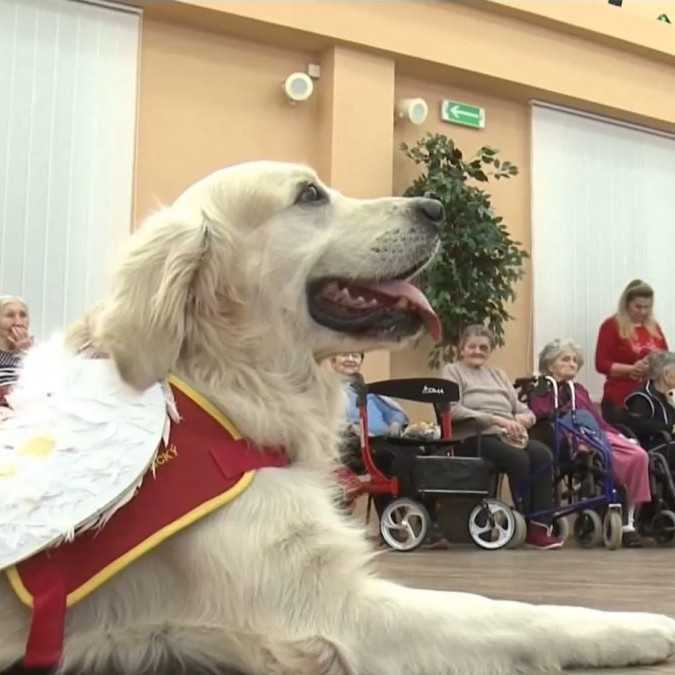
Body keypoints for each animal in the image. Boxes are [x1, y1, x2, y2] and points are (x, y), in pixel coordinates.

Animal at [1, 161, 675, 672]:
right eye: (309, 195)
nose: (436, 207)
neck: (230, 390)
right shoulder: (330, 613)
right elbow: (509, 612)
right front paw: (643, 625)